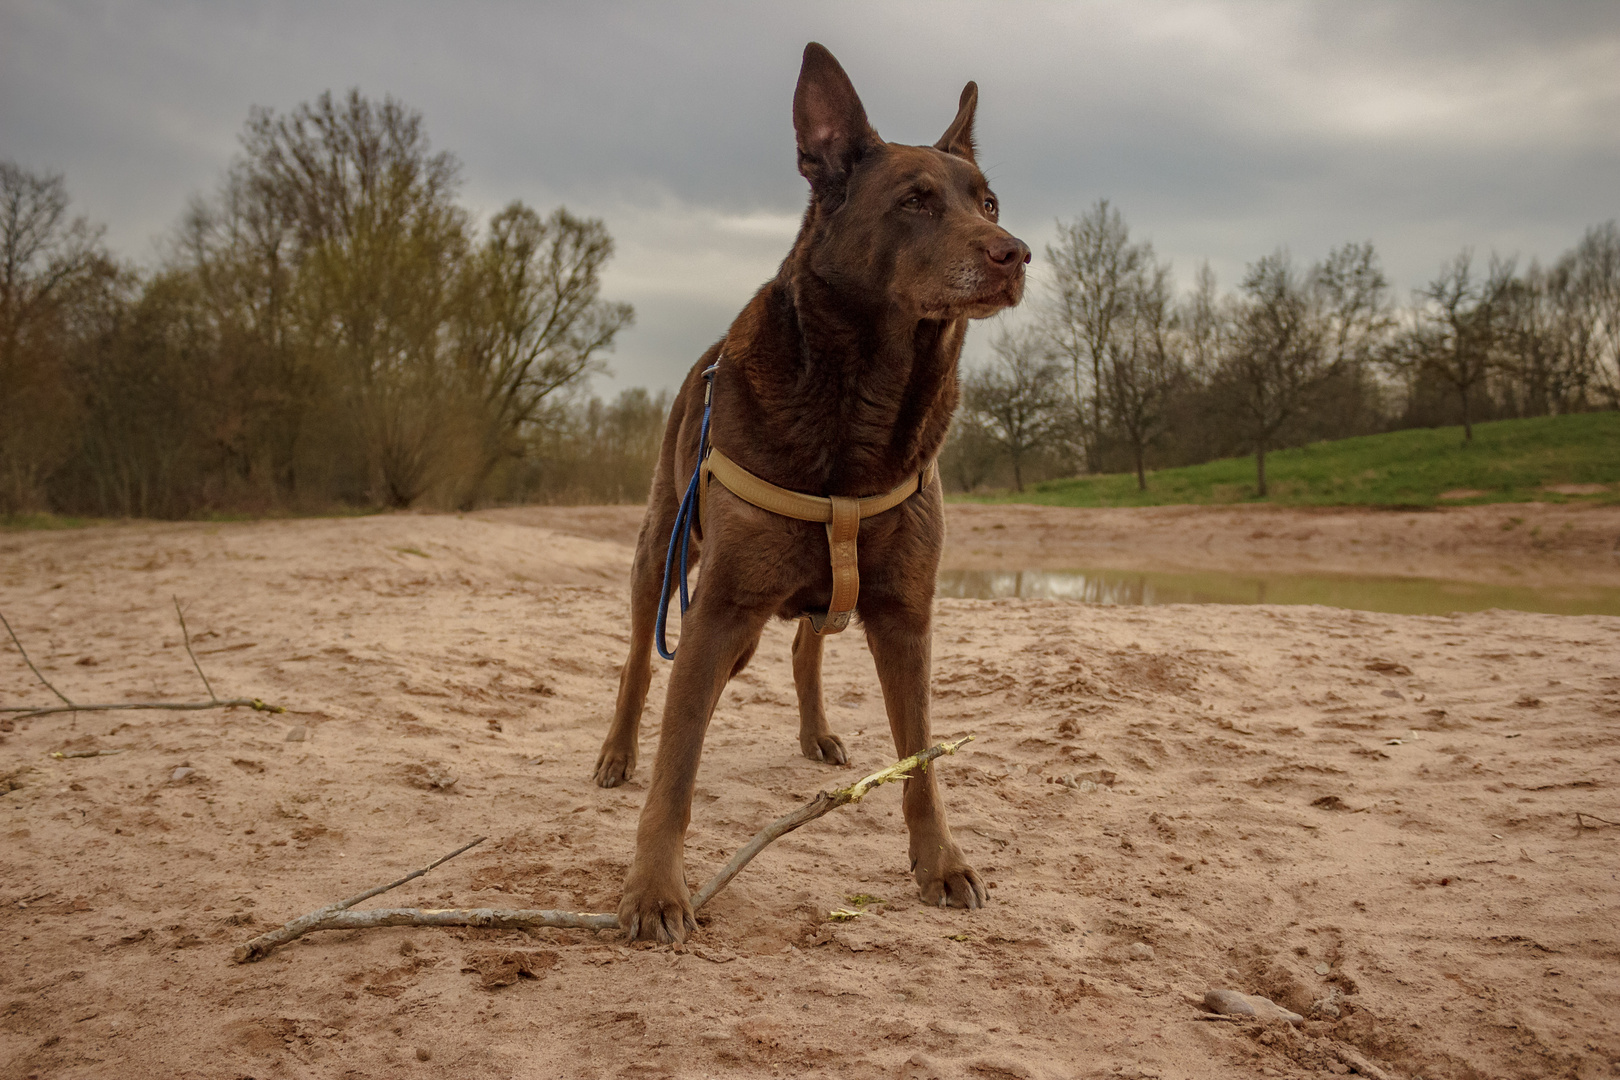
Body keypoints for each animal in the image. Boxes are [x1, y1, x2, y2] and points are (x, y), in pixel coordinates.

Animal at [592, 40, 1023, 945]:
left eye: (990, 201)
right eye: (915, 201)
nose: (1015, 252)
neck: (866, 401)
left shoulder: (906, 616)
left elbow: (922, 760)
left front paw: (941, 863)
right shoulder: (717, 610)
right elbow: (676, 773)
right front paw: (654, 888)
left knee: (802, 647)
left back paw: (816, 732)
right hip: (663, 555)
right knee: (642, 666)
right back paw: (618, 751)